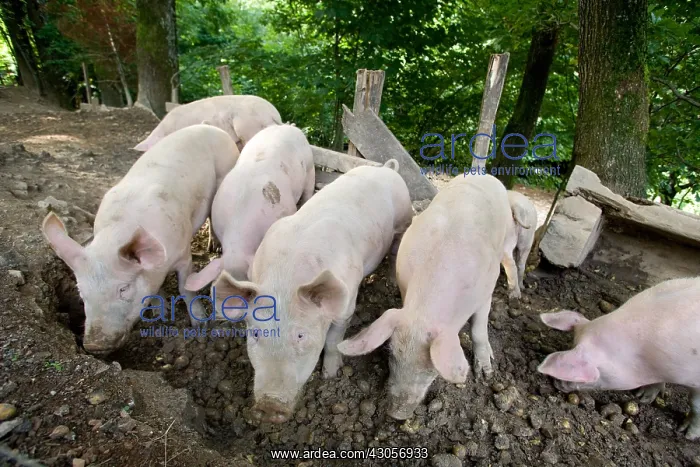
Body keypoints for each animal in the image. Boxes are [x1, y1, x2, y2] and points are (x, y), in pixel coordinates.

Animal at [41, 125, 239, 354]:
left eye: (123, 289)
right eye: (82, 292)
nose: (94, 345)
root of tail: (211, 127)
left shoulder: (183, 254)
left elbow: (185, 288)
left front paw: (200, 324)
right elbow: (157, 291)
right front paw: (159, 315)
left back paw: (215, 248)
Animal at [210, 159, 413, 423]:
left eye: (300, 335)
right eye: (255, 334)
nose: (270, 406)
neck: (285, 280)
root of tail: (387, 168)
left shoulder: (347, 306)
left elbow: (334, 340)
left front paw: (330, 375)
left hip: (404, 220)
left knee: (396, 252)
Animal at [337, 174, 512, 419]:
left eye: (431, 369)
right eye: (392, 354)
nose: (397, 414)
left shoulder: (487, 287)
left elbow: (479, 329)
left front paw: (485, 375)